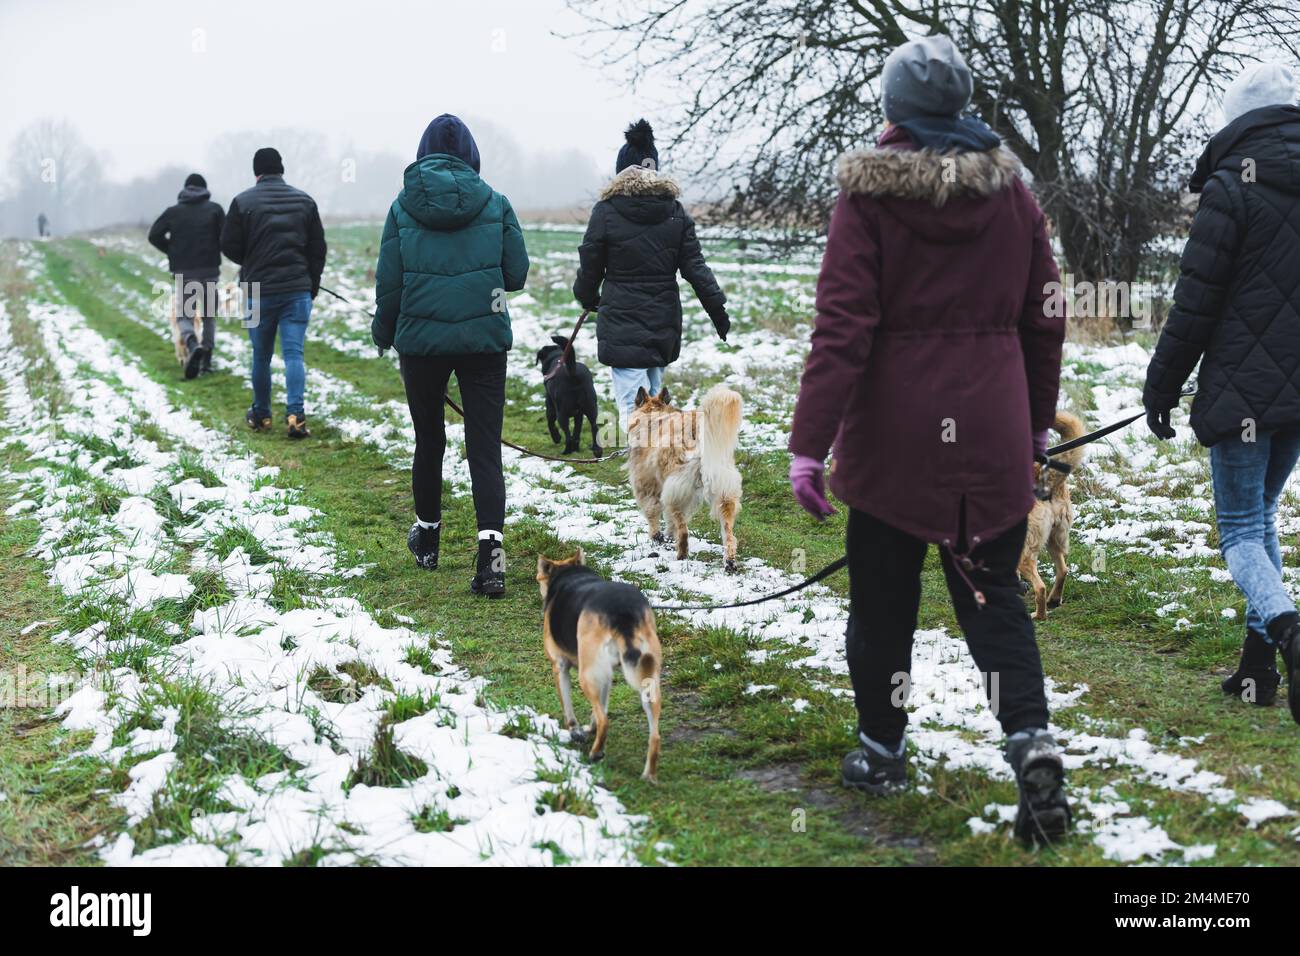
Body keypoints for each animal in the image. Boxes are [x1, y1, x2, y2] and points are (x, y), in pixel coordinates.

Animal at [535, 548, 665, 780]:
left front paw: (576, 732)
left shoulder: (560, 667)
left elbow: (569, 708)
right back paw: (648, 775)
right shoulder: (606, 676)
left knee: (606, 721)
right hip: (647, 681)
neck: (569, 574)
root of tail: (623, 612)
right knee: (655, 735)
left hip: (586, 676)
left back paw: (596, 753)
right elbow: (601, 707)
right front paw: (590, 728)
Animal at [626, 382, 743, 574]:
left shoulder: (646, 484)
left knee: (683, 530)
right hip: (723, 490)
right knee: (729, 534)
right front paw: (666, 536)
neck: (653, 416)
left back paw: (681, 556)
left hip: (676, 491)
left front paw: (656, 536)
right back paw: (730, 562)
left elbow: (652, 511)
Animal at [1013, 408, 1086, 621]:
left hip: (1027, 549)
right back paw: (1053, 600)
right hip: (1054, 539)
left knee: (1040, 587)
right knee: (1063, 570)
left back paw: (1039, 615)